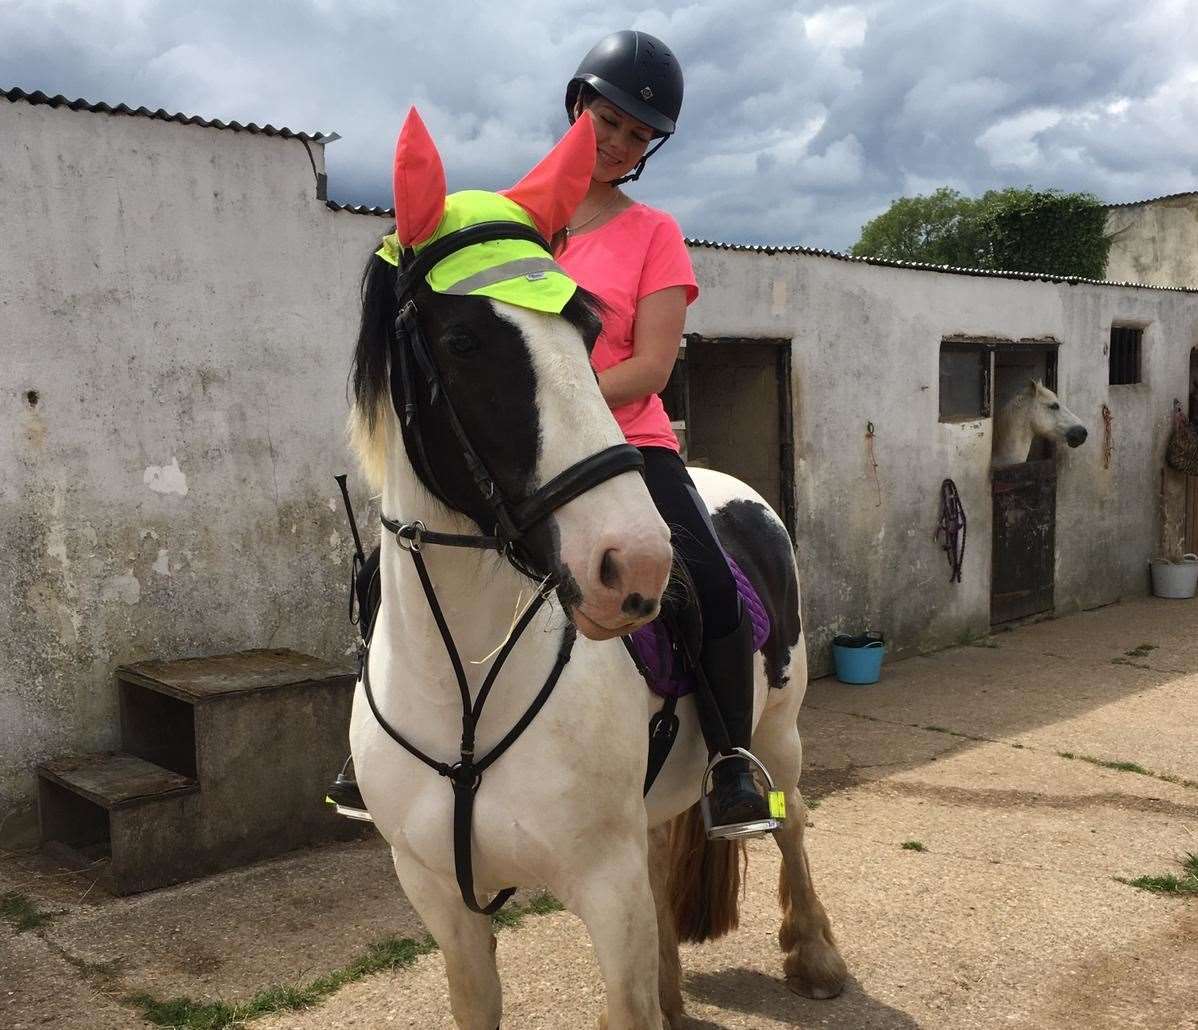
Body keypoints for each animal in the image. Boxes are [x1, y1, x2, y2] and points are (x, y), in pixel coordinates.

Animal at [349, 108, 848, 1025]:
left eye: (585, 331)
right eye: (463, 338)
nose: (637, 566)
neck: (465, 694)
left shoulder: (603, 888)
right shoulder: (440, 897)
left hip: (779, 729)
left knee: (791, 817)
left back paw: (815, 954)